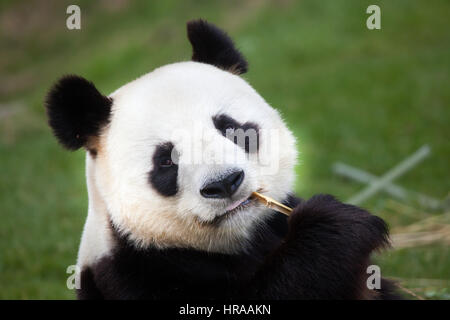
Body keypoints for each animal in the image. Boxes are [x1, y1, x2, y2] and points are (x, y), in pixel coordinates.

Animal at [44, 20, 398, 300]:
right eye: (166, 161)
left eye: (231, 129)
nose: (225, 183)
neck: (239, 241)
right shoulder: (130, 274)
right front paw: (336, 224)